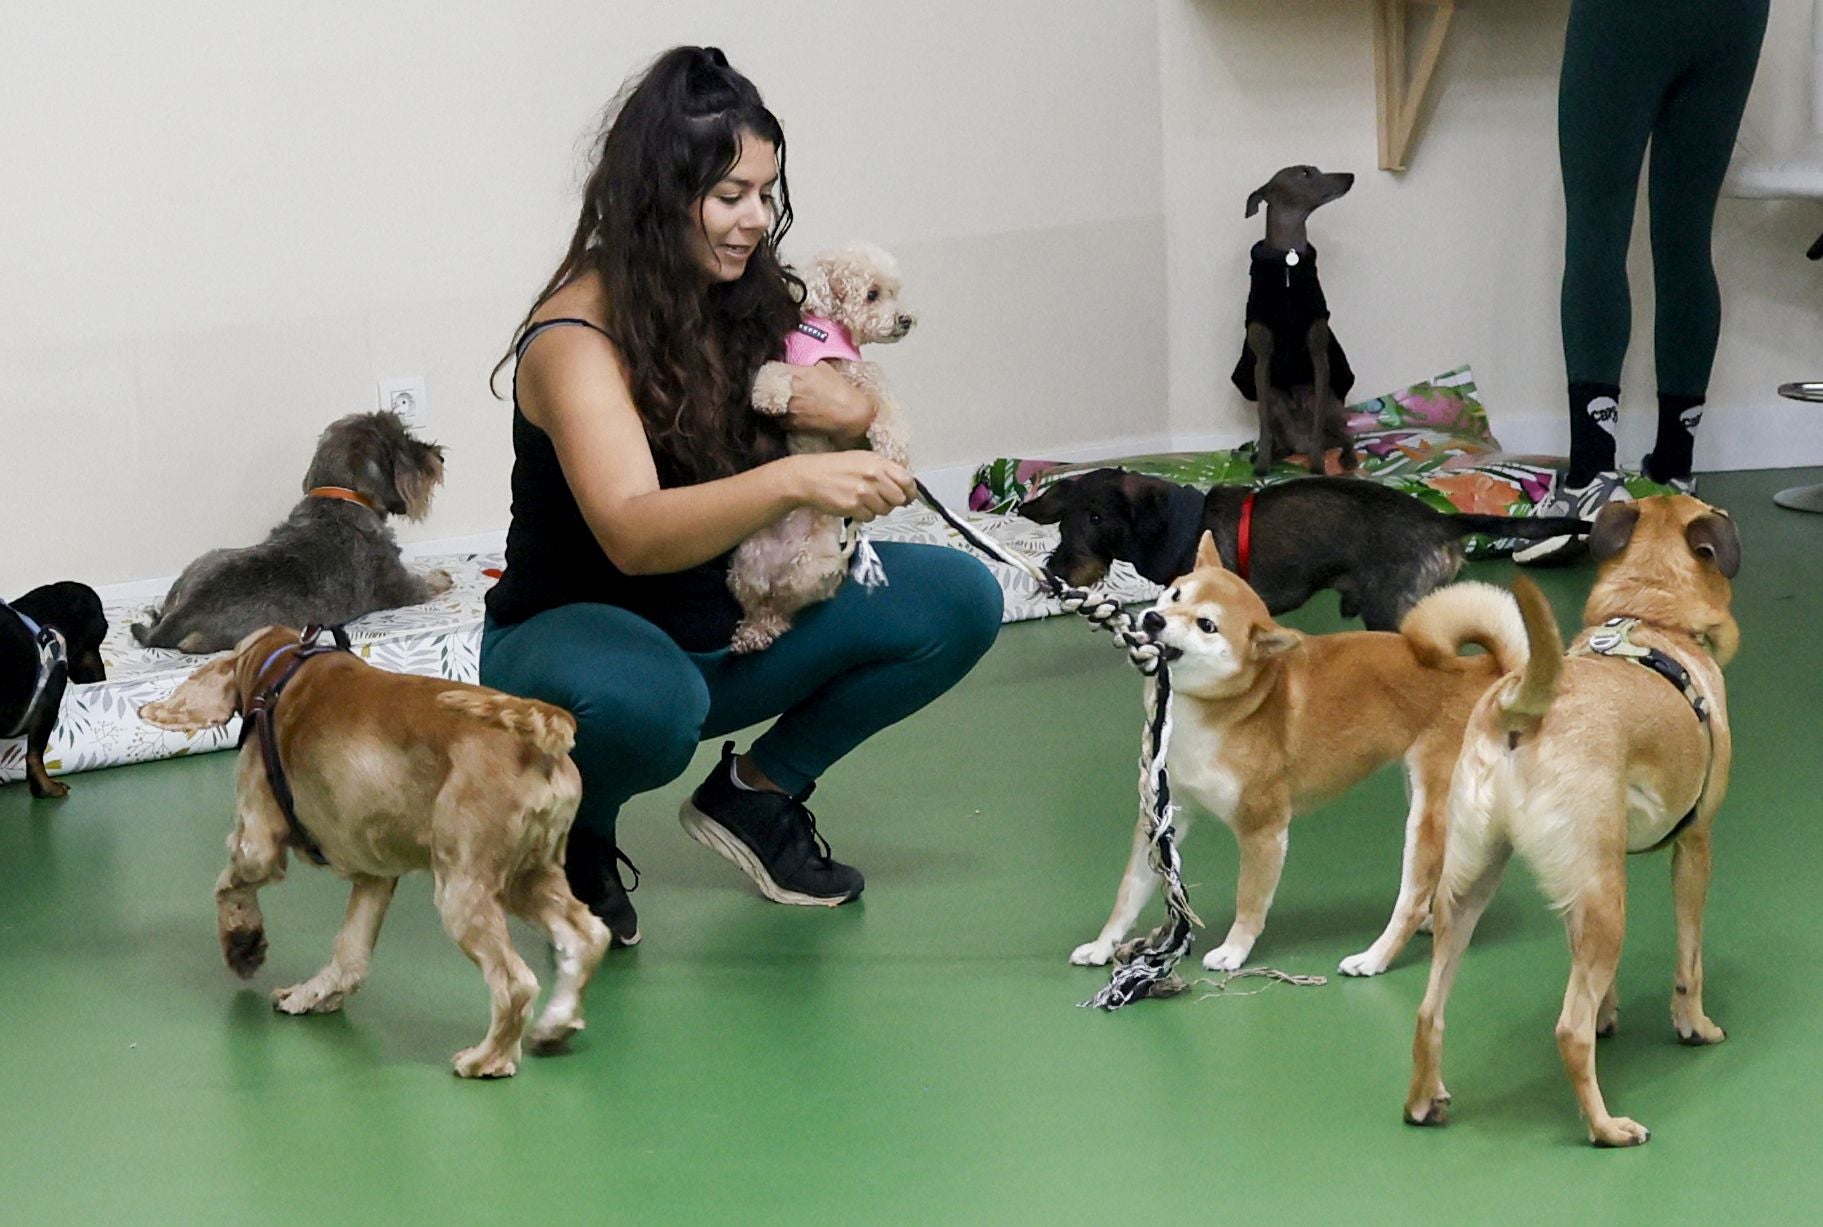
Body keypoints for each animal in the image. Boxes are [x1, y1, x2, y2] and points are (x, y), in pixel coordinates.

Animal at [142, 627, 608, 1079]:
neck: (281, 664)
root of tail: (542, 742)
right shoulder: (375, 875)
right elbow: (350, 952)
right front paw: (312, 994)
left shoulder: (257, 843)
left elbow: (228, 888)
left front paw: (243, 945)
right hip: (528, 876)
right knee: (587, 936)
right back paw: (555, 1025)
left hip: (464, 886)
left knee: (515, 983)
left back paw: (487, 1059)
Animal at [1020, 470, 1589, 630]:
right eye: (1065, 521)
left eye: (1099, 519)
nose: (1055, 568)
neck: (1183, 524)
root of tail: (1439, 520)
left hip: (1388, 612)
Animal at [1071, 532, 1531, 977]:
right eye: (1175, 593)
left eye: (1207, 625)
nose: (1153, 618)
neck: (1216, 708)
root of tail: (1485, 670)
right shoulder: (1166, 816)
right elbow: (1129, 894)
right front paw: (1102, 946)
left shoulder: (1264, 829)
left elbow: (1249, 900)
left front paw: (1233, 951)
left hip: (1424, 817)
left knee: (1412, 899)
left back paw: (1373, 959)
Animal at [1400, 492, 1742, 1144]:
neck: (1649, 615)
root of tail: (1518, 711)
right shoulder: (1697, 848)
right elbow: (1690, 960)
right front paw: (1695, 1026)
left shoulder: (1575, 890)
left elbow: (1595, 973)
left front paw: (1612, 1011)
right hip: (1608, 897)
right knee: (1568, 1030)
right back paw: (1606, 1127)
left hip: (1469, 889)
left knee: (1430, 1011)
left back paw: (1423, 1101)